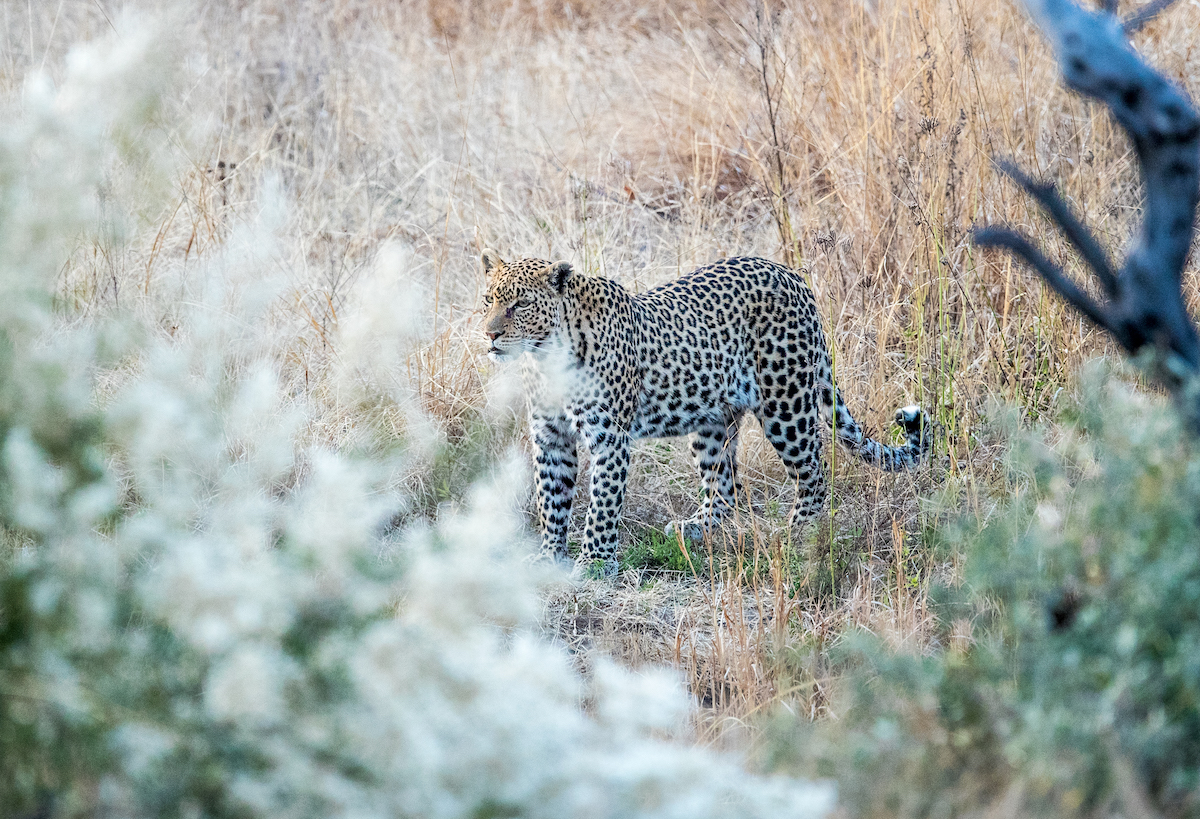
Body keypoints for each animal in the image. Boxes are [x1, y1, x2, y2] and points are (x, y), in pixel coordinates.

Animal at [479, 249, 930, 572]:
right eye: (488, 300)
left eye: (521, 305)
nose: (490, 334)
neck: (545, 357)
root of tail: (792, 275)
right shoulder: (550, 437)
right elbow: (551, 500)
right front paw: (548, 556)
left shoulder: (609, 439)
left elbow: (602, 502)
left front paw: (595, 562)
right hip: (712, 422)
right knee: (726, 489)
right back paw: (696, 527)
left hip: (786, 405)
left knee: (813, 474)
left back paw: (800, 532)